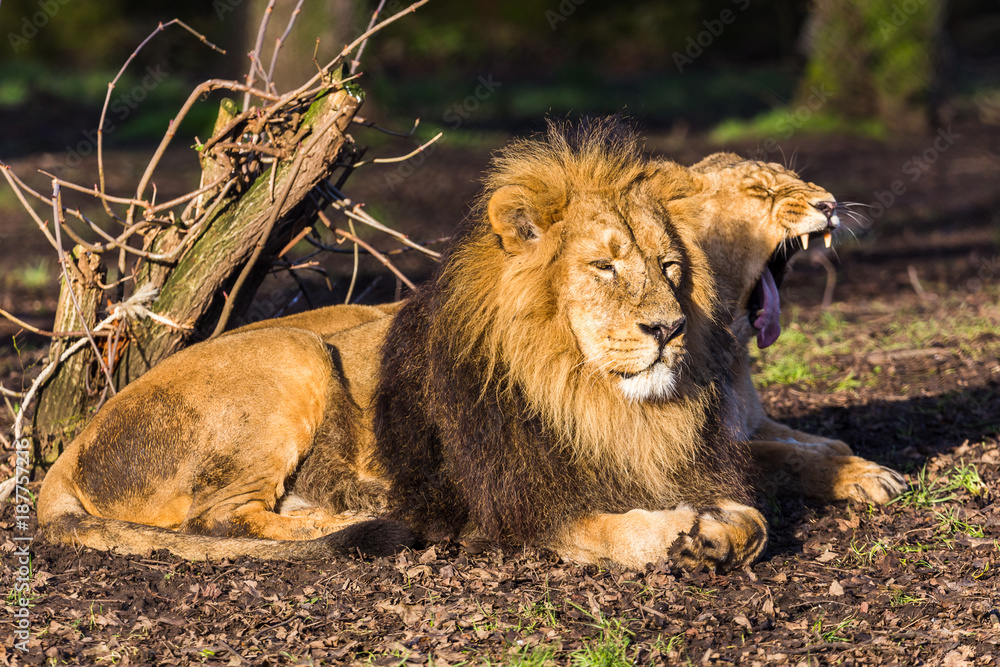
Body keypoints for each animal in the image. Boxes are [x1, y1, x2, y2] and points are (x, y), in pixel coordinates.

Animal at [38, 120, 767, 572]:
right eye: (604, 266)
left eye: (671, 267)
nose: (668, 330)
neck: (596, 398)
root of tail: (70, 450)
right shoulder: (515, 509)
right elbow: (612, 527)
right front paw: (678, 536)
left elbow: (755, 518)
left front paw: (720, 531)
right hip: (296, 346)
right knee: (219, 521)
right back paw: (341, 520)